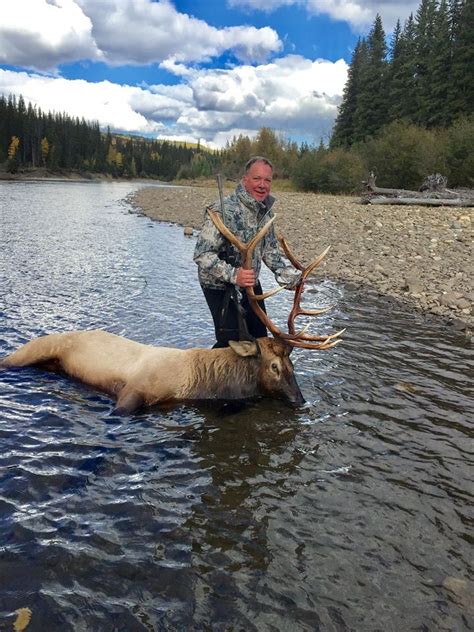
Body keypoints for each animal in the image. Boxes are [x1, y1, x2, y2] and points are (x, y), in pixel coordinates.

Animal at [0, 216, 342, 414]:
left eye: (292, 364)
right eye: (274, 366)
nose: (299, 399)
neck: (200, 383)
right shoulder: (131, 391)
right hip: (29, 352)